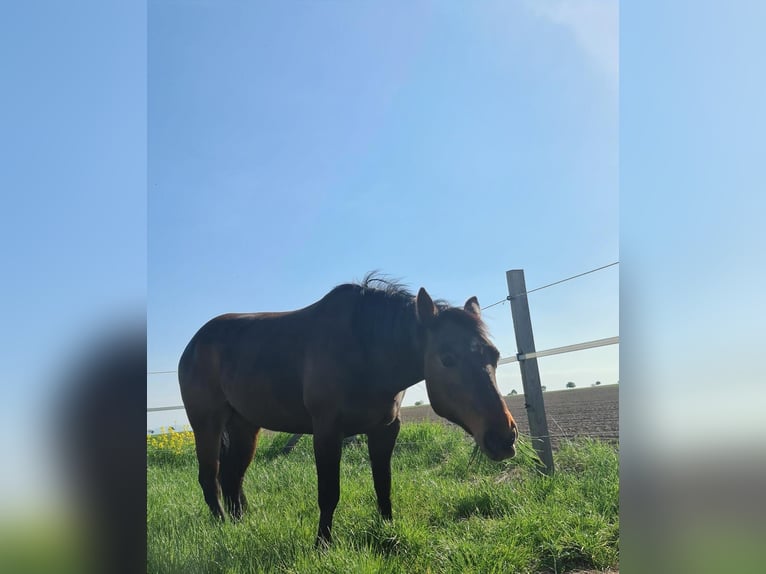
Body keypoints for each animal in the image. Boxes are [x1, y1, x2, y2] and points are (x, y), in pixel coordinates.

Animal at [177, 276, 520, 548]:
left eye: (494, 355)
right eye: (447, 358)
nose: (504, 437)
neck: (365, 348)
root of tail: (194, 344)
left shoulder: (385, 428)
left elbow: (383, 484)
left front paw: (387, 530)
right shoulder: (327, 431)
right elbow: (329, 492)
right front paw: (322, 544)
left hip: (244, 425)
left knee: (233, 476)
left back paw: (241, 522)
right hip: (206, 423)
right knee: (210, 477)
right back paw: (222, 527)